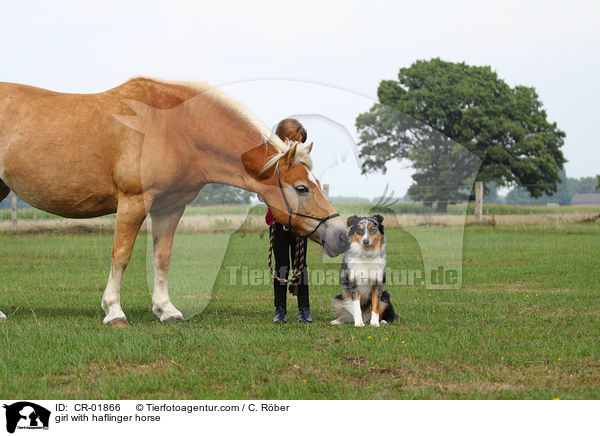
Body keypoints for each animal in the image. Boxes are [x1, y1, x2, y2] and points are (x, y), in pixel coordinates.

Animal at [0, 76, 346, 326]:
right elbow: (121, 255)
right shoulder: (134, 201)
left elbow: (162, 257)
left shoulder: (170, 206)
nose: (342, 234)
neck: (174, 127)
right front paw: (114, 312)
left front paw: (166, 310)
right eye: (302, 188)